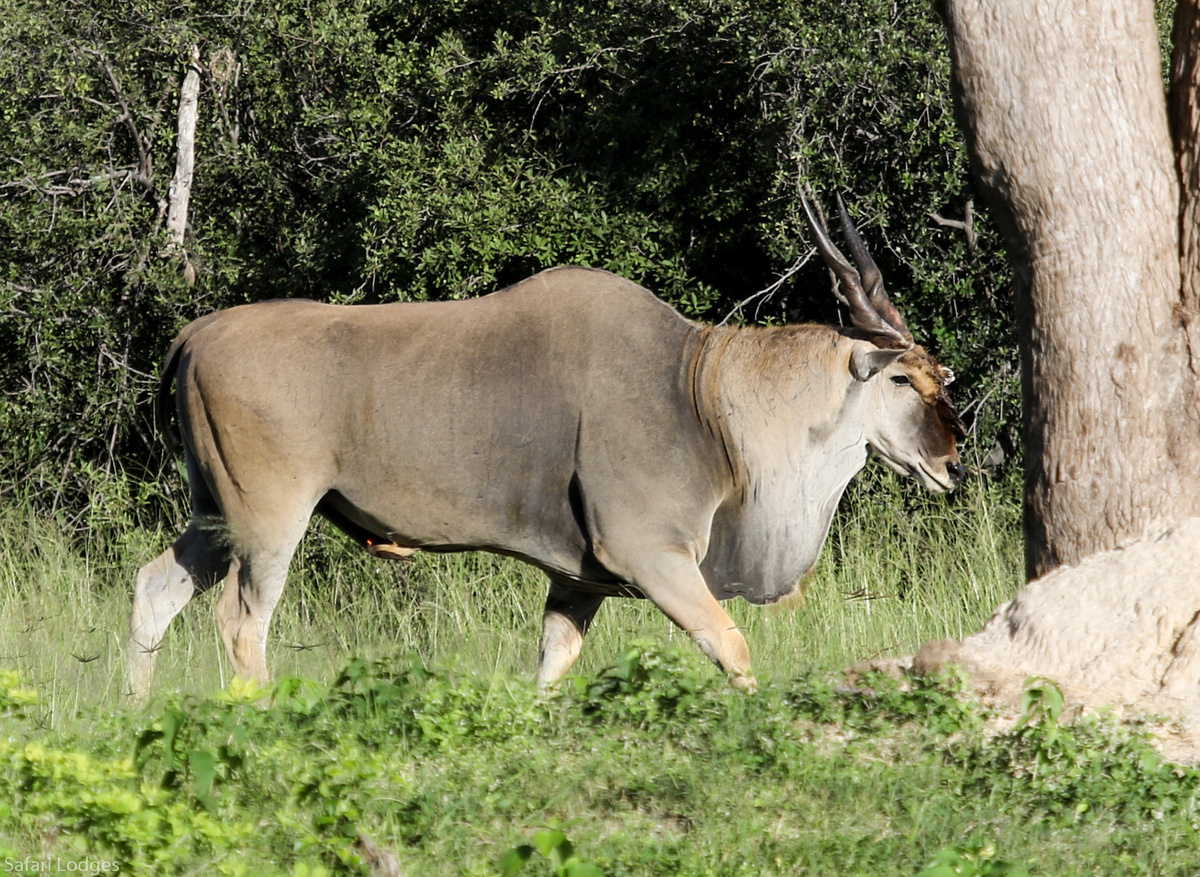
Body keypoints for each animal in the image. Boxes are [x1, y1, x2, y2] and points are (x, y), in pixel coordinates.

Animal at [127, 195, 966, 701]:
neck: (702, 393)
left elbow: (550, 667)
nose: (953, 463)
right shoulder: (652, 556)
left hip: (214, 517)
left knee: (155, 587)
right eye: (903, 378)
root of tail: (194, 335)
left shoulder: (578, 582)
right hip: (270, 522)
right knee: (241, 622)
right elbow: (733, 646)